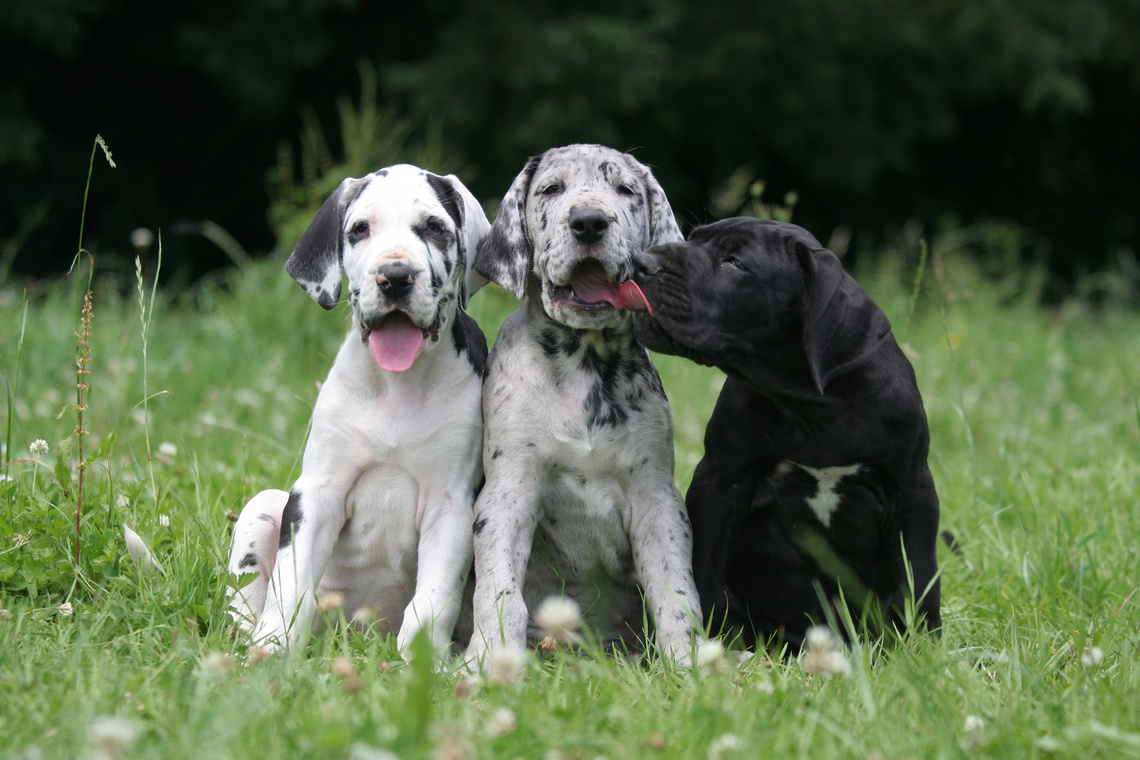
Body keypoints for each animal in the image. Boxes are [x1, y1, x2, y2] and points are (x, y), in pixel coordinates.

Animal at [226, 165, 490, 656]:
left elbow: (432, 601)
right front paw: (273, 650)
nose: (395, 276)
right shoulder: (317, 493)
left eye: (434, 228)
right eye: (360, 229)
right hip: (265, 506)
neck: (397, 386)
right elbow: (291, 585)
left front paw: (419, 664)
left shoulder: (452, 507)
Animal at [465, 144, 702, 665]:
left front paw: (690, 662)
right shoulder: (508, 492)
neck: (584, 363)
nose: (589, 222)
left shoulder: (656, 498)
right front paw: (490, 656)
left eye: (625, 190)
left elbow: (675, 590)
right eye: (552, 189)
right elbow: (498, 590)